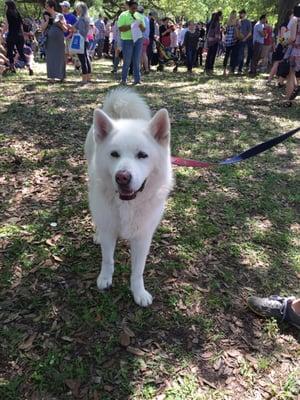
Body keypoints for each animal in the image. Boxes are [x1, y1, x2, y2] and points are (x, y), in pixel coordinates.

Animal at [84, 88, 173, 306]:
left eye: (142, 155)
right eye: (114, 154)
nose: (122, 177)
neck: (128, 204)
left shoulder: (142, 238)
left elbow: (138, 271)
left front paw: (138, 292)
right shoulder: (109, 231)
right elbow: (108, 259)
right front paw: (105, 279)